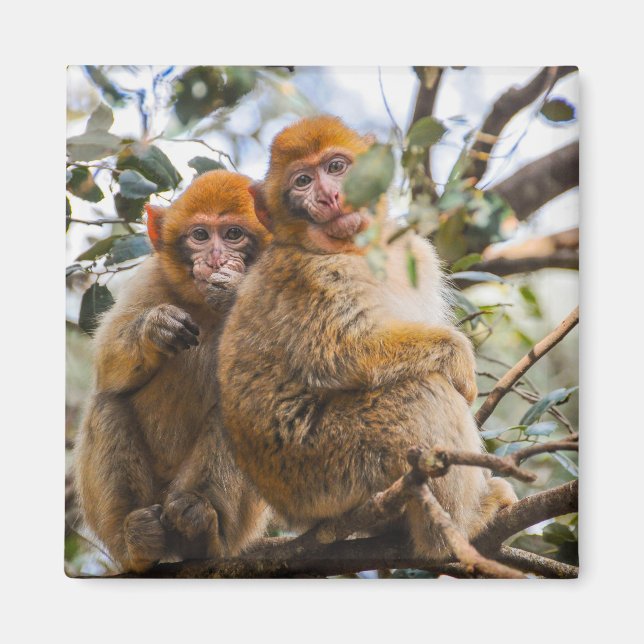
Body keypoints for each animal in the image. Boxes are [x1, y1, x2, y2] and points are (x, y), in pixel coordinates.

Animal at [74, 170, 272, 573]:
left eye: (233, 234)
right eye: (200, 236)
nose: (214, 258)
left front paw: (234, 289)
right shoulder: (151, 279)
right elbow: (107, 369)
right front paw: (154, 328)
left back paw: (200, 530)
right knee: (107, 402)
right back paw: (138, 542)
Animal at [217, 116, 516, 559]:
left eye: (336, 167)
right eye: (302, 181)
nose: (328, 196)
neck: (358, 249)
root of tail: (293, 513)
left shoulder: (415, 251)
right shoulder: (313, 277)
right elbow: (342, 352)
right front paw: (460, 360)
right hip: (328, 467)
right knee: (420, 392)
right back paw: (455, 532)